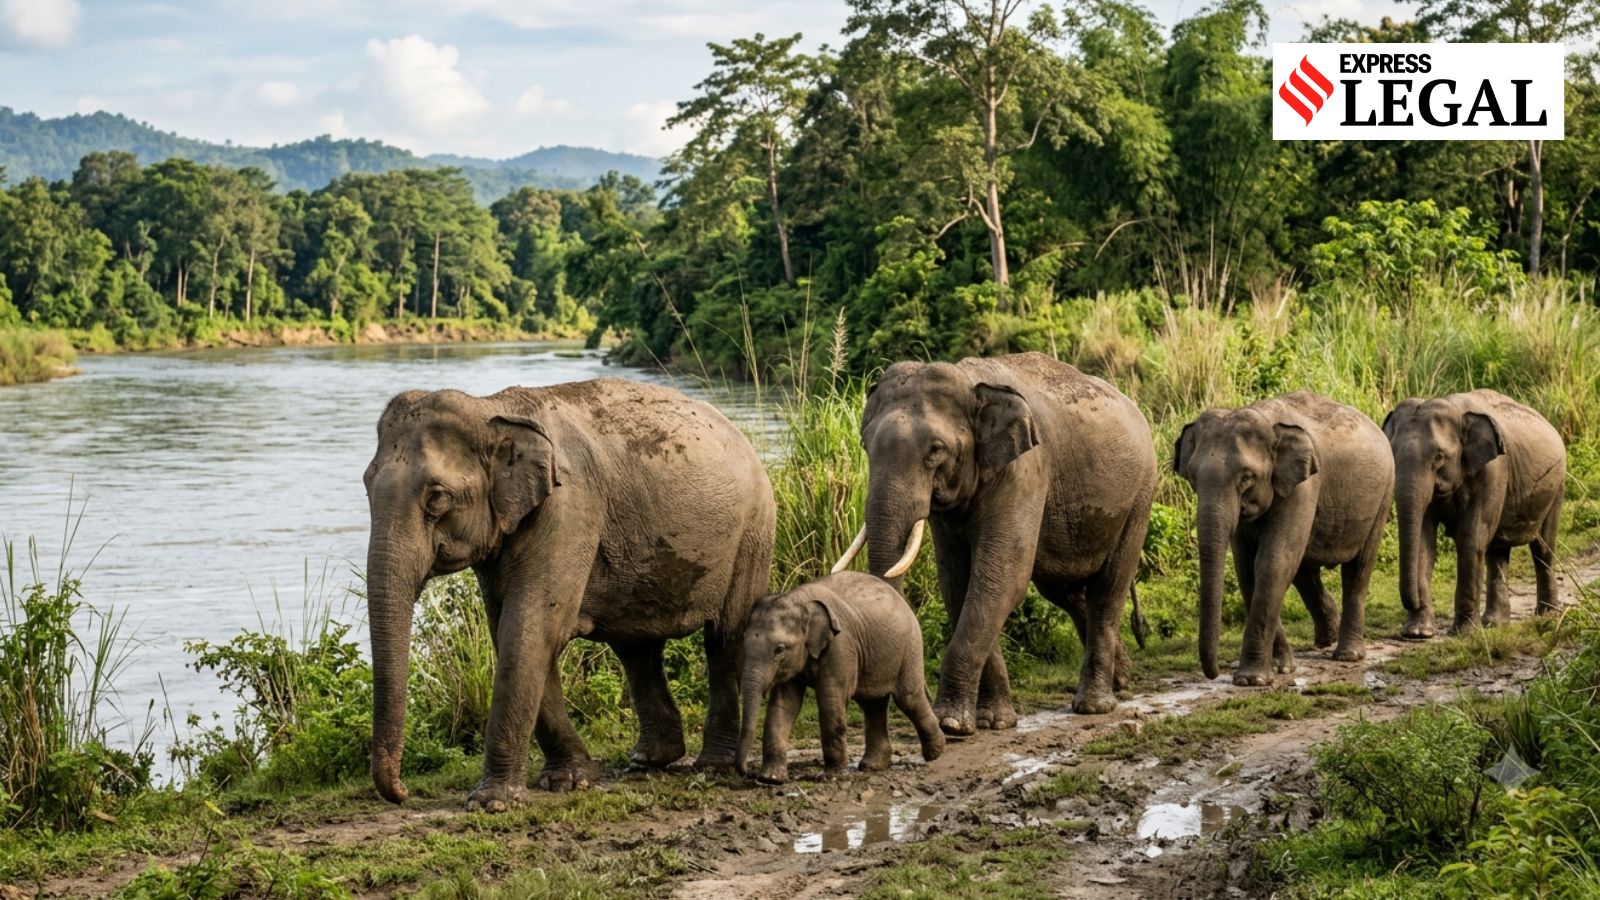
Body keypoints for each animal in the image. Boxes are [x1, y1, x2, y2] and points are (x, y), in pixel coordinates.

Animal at [362, 380, 775, 810]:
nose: (403, 793)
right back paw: (650, 759)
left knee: (724, 637)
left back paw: (712, 765)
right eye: (366, 487)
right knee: (637, 650)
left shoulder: (569, 508)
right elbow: (512, 632)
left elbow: (530, 629)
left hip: (752, 533)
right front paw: (571, 781)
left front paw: (491, 802)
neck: (490, 410)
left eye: (437, 498)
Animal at [735, 571, 944, 784]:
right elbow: (784, 704)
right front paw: (771, 779)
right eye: (743, 642)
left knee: (907, 698)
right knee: (872, 704)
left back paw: (935, 753)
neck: (800, 600)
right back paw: (872, 766)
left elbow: (831, 699)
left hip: (910, 645)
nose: (746, 772)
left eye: (779, 649)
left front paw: (831, 776)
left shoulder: (840, 645)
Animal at [833, 352, 1157, 728]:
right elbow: (957, 582)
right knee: (1063, 588)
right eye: (865, 445)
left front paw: (951, 723)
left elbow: (999, 579)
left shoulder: (1024, 470)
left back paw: (1094, 705)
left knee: (1108, 588)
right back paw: (1122, 679)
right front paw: (992, 721)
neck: (970, 383)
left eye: (936, 450)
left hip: (1139, 496)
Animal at [1174, 392, 1393, 685]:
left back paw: (1348, 655)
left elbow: (1272, 563)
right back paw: (1326, 638)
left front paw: (1251, 680)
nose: (1215, 672)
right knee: (1305, 570)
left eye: (1246, 478)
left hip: (1383, 496)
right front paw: (1283, 667)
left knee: (1358, 569)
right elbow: (1248, 571)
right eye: (1193, 478)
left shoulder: (1304, 487)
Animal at [1383, 389, 1566, 637]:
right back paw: (1494, 623)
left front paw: (1465, 633)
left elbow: (1471, 538)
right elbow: (1423, 541)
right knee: (1497, 552)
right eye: (1392, 453)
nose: (1414, 602)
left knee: (1543, 549)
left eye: (1439, 457)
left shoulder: (1492, 471)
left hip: (1556, 487)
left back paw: (1547, 614)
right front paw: (1418, 633)